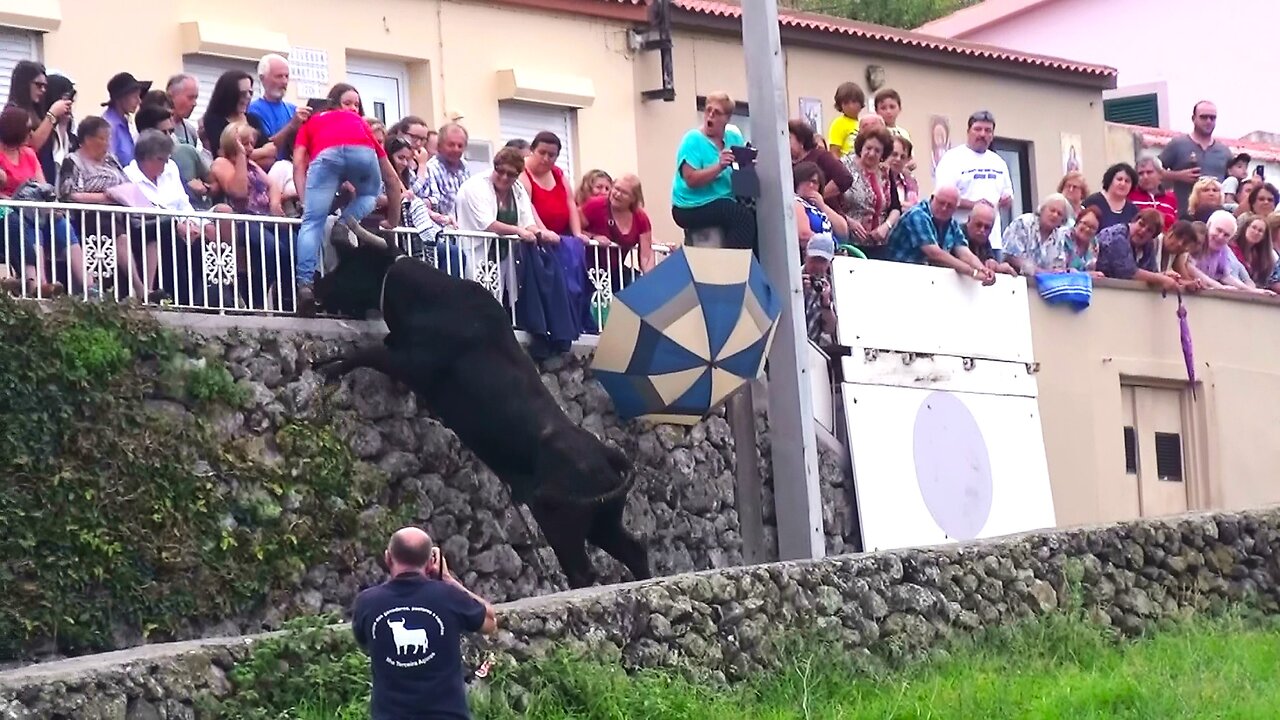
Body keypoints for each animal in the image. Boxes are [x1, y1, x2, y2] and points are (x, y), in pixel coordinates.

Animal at [311, 234, 650, 584]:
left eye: (354, 263)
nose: (316, 284)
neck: (430, 300)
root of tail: (608, 454)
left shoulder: (410, 363)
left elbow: (365, 354)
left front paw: (328, 370)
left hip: (561, 520)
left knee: (582, 569)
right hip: (604, 522)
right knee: (634, 550)